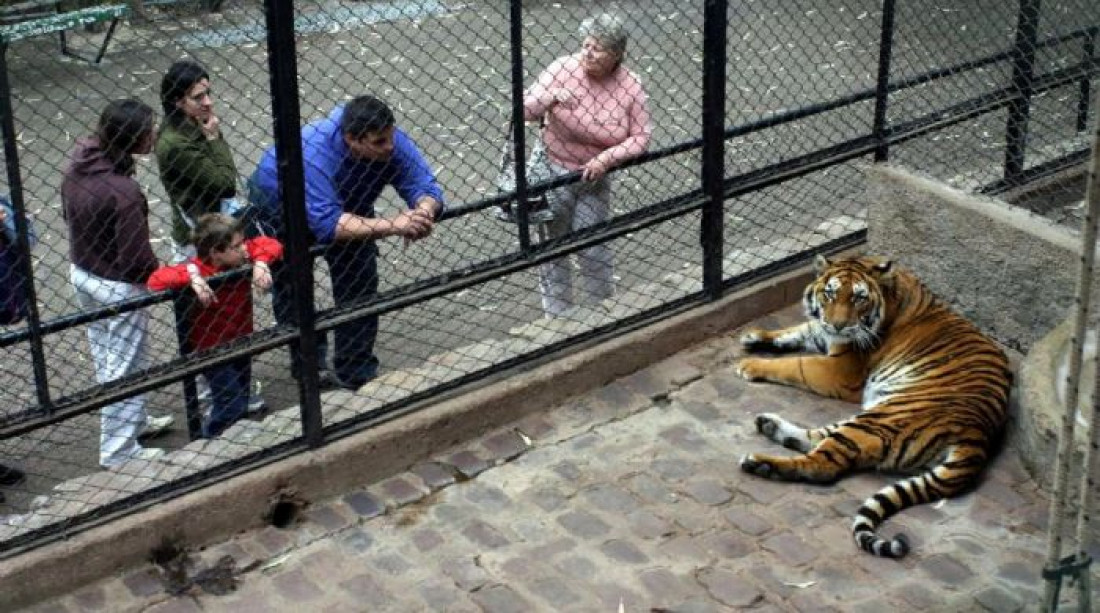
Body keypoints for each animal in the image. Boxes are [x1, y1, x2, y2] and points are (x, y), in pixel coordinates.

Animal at [734, 250, 1007, 556]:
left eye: (858, 298)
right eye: (830, 294)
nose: (838, 325)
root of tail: (978, 436)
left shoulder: (838, 371)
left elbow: (796, 364)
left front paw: (751, 364)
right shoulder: (824, 332)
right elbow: (805, 327)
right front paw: (756, 335)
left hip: (882, 417)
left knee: (822, 465)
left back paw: (760, 463)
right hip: (872, 416)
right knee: (819, 437)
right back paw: (769, 425)